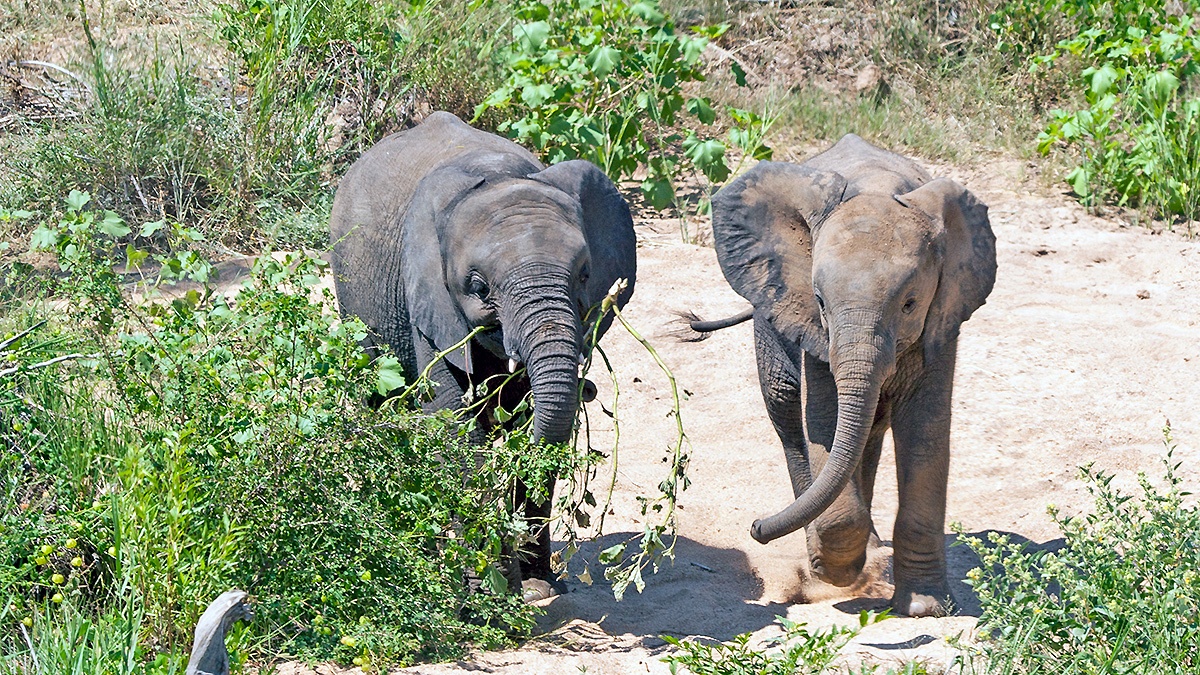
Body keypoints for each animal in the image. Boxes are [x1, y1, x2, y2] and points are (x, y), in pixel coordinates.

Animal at [329, 111, 637, 590]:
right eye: (478, 287)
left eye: (586, 274)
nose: (589, 389)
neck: (499, 177)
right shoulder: (428, 299)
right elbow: (454, 426)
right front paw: (483, 592)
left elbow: (540, 421)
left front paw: (535, 587)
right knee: (379, 403)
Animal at [687, 134, 995, 617]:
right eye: (820, 301)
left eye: (910, 304)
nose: (755, 526)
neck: (877, 186)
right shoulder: (808, 320)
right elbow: (826, 420)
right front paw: (836, 575)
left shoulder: (944, 315)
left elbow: (925, 429)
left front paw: (924, 608)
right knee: (786, 401)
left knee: (870, 430)